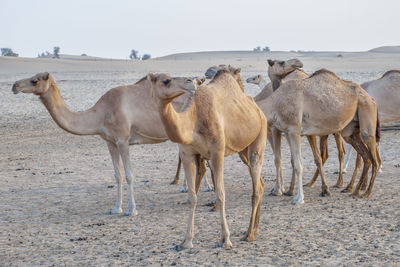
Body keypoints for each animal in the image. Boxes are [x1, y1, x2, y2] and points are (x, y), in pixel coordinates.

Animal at [11, 72, 200, 217]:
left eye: (35, 80)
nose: (14, 85)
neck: (101, 113)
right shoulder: (110, 142)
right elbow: (117, 175)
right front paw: (116, 208)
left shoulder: (123, 140)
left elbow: (129, 175)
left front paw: (132, 210)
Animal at [148, 66, 268, 249]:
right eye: (165, 81)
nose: (189, 81)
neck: (193, 121)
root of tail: (258, 109)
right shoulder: (187, 155)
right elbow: (192, 197)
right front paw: (186, 241)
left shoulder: (217, 153)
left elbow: (220, 195)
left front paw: (226, 240)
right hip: (243, 151)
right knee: (260, 184)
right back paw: (255, 229)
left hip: (260, 137)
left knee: (256, 187)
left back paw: (249, 234)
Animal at [256, 68, 382, 205]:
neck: (275, 103)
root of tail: (372, 99)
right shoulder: (287, 131)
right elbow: (293, 162)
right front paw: (291, 192)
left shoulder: (294, 129)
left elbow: (298, 165)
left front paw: (299, 198)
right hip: (350, 131)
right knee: (366, 157)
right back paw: (355, 191)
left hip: (367, 116)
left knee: (374, 158)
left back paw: (366, 192)